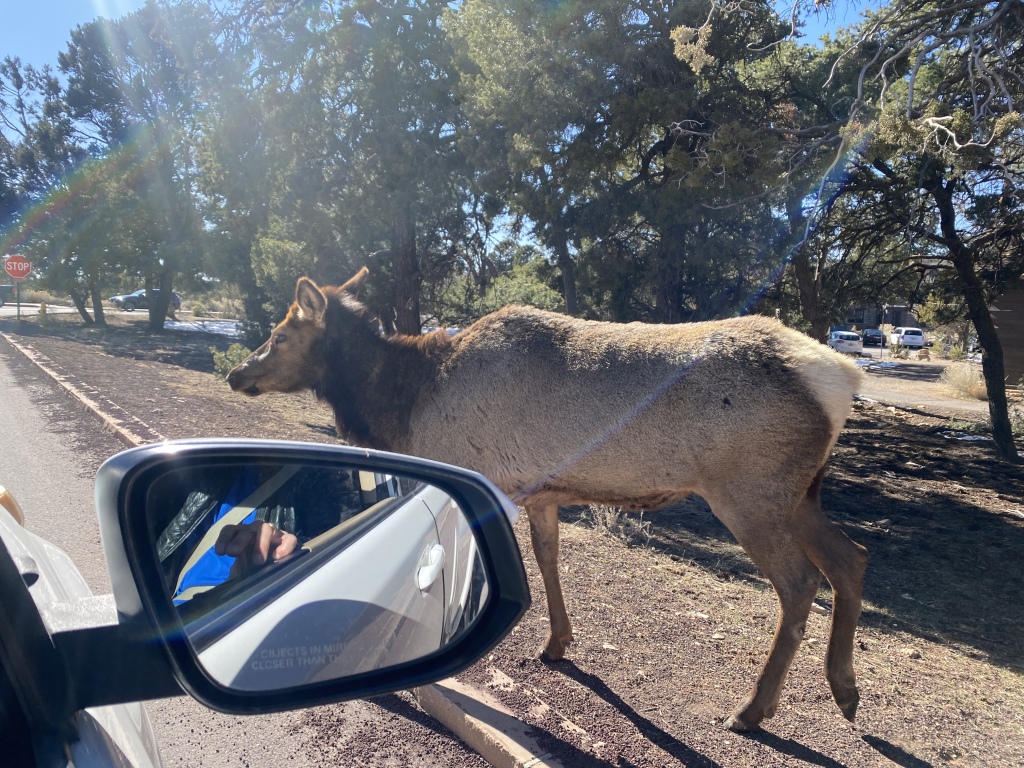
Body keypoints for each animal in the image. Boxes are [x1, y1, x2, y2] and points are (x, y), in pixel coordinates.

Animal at [226, 268, 868, 732]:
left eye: (280, 335)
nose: (237, 374)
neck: (404, 405)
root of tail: (844, 376)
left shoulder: (469, 476)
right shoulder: (540, 489)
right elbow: (547, 556)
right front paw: (557, 643)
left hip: (749, 492)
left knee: (800, 583)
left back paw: (753, 709)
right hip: (798, 494)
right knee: (851, 557)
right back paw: (844, 688)